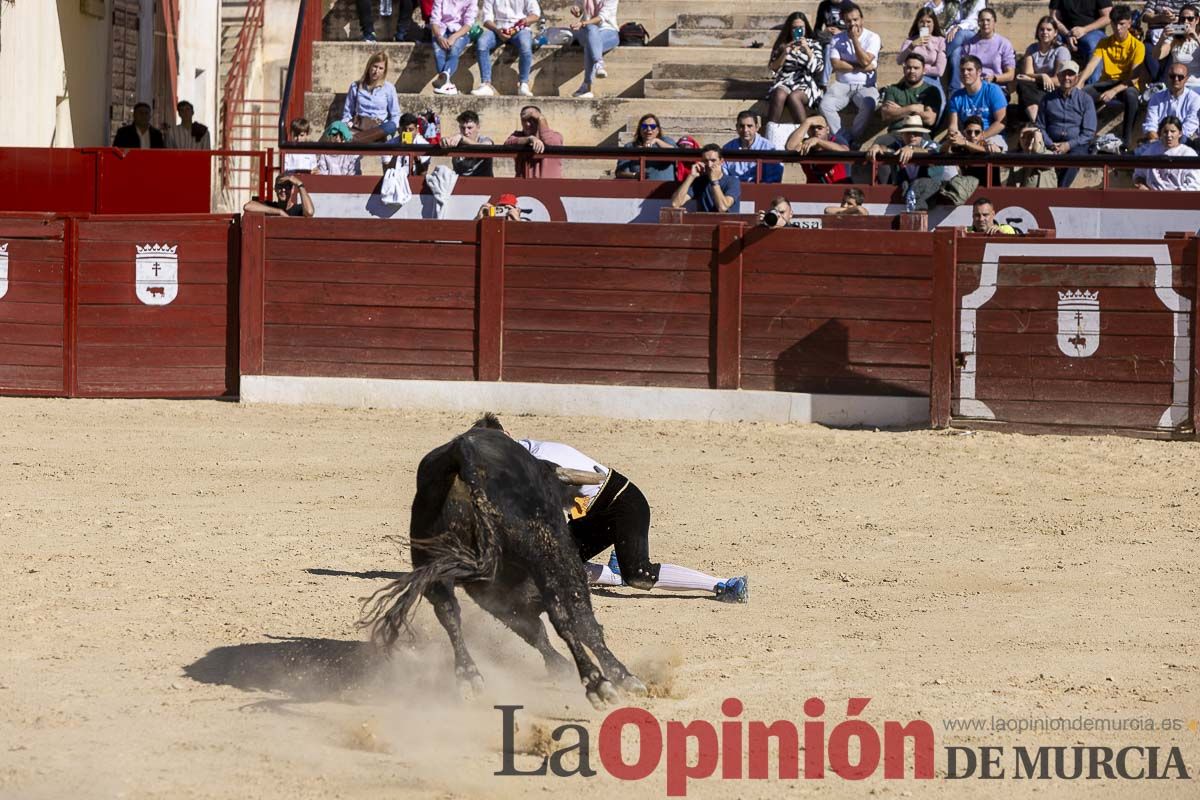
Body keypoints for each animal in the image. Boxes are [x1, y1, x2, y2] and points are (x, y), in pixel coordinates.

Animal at [357, 424, 648, 705]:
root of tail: (463, 452)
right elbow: (581, 623)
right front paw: (621, 676)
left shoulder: (497, 596)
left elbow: (534, 631)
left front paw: (559, 666)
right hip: (547, 554)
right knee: (563, 615)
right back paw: (597, 684)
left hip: (435, 562)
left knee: (448, 612)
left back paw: (469, 675)